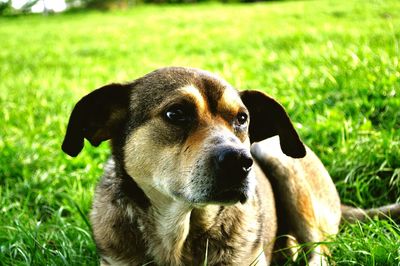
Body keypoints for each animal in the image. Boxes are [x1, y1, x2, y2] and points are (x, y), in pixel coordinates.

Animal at [61, 66, 398, 264]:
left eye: (242, 118)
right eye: (175, 113)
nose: (240, 161)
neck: (179, 231)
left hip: (281, 161)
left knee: (318, 252)